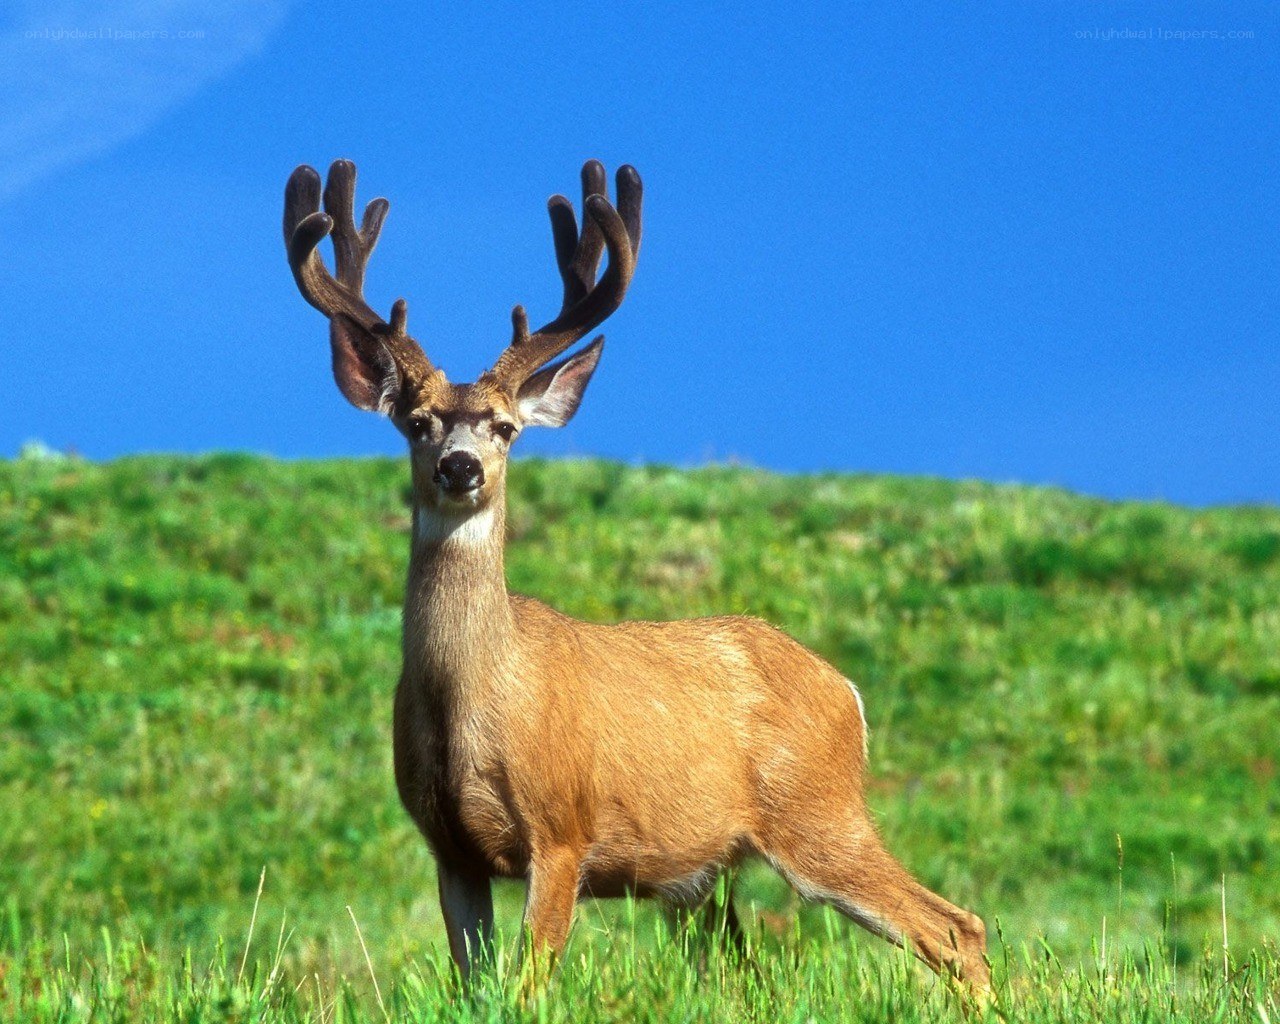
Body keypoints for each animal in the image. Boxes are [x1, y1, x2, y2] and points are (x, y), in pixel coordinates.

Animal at [282, 158, 991, 996]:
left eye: (505, 428)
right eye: (416, 423)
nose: (460, 468)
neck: (472, 697)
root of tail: (844, 690)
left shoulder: (562, 829)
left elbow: (528, 983)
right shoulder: (449, 847)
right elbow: (474, 982)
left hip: (818, 812)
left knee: (954, 926)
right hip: (708, 875)